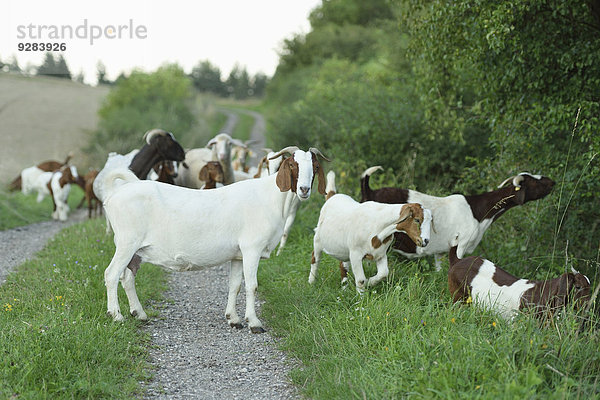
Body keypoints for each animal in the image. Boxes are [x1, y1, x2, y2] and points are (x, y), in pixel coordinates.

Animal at [102, 146, 328, 332]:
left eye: (315, 166)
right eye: (291, 164)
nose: (304, 189)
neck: (271, 199)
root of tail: (116, 193)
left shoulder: (237, 255)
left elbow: (235, 285)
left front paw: (233, 319)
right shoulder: (251, 249)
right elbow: (252, 285)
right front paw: (254, 323)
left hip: (136, 250)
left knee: (127, 277)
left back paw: (139, 314)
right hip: (126, 243)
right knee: (111, 274)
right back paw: (117, 316)